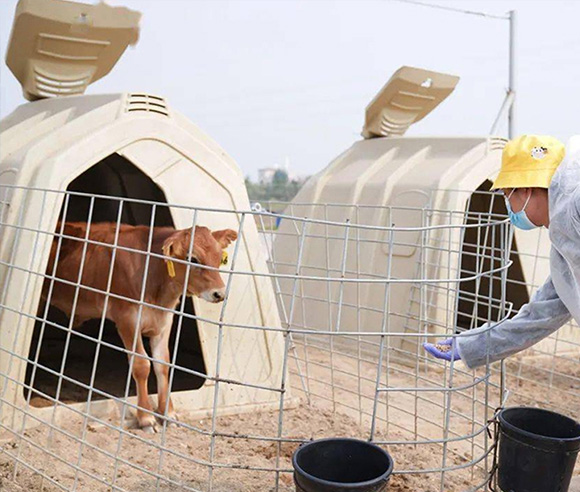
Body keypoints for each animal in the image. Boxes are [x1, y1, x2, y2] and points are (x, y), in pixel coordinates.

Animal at [42, 221, 238, 432]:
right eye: (192, 258)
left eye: (219, 258)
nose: (220, 293)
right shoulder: (127, 320)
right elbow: (141, 365)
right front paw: (146, 418)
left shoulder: (164, 321)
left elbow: (163, 364)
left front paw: (168, 413)